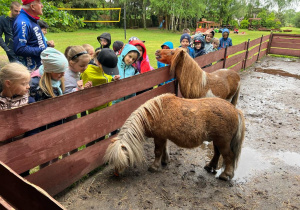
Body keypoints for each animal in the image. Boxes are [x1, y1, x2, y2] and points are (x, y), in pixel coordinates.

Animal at [104, 93, 245, 180]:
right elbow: (164, 149)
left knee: (229, 156)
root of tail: (235, 110)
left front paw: (154, 166)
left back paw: (226, 175)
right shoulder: (163, 137)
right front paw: (165, 161)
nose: (116, 173)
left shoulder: (159, 137)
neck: (153, 113)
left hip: (223, 142)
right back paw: (210, 166)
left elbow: (158, 151)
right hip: (217, 141)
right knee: (217, 153)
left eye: (121, 158)